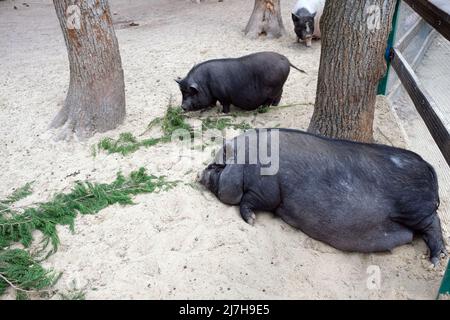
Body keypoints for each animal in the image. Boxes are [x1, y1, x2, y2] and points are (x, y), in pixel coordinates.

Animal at [176, 51, 306, 114]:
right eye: (182, 92)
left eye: (190, 93)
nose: (182, 106)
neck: (204, 84)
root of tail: (286, 59)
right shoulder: (213, 96)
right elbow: (212, 102)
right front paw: (207, 109)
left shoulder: (223, 96)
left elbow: (225, 105)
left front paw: (222, 113)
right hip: (279, 86)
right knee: (281, 93)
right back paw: (274, 105)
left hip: (274, 88)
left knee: (272, 98)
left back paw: (263, 108)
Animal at [200, 128, 446, 264]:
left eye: (217, 166)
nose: (199, 174)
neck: (247, 162)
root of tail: (430, 168)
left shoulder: (267, 191)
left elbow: (250, 202)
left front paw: (251, 221)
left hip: (414, 207)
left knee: (434, 222)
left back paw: (436, 260)